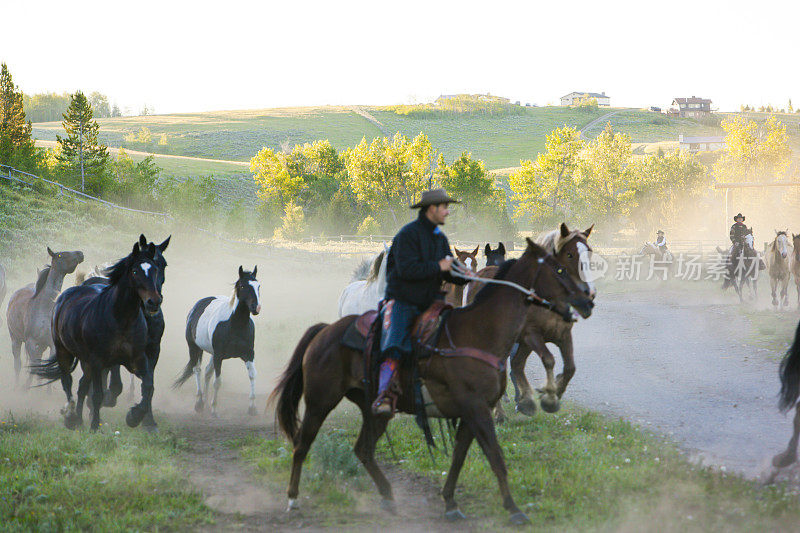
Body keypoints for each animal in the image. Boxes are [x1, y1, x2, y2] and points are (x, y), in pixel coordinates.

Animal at [7, 245, 83, 386]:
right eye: (60, 255)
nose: (80, 253)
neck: (44, 308)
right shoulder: (31, 343)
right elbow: (34, 366)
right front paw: (26, 387)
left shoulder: (51, 345)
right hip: (15, 339)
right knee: (18, 364)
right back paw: (17, 386)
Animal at [32, 236, 166, 428]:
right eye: (134, 271)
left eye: (159, 266)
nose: (153, 302)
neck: (122, 318)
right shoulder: (101, 359)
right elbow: (101, 392)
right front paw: (96, 422)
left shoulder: (142, 356)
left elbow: (148, 385)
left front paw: (136, 417)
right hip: (65, 351)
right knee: (68, 381)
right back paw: (72, 415)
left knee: (82, 385)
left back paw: (79, 418)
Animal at [175, 266, 262, 416]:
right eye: (243, 285)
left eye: (258, 286)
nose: (256, 308)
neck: (235, 325)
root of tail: (197, 306)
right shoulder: (219, 356)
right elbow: (218, 382)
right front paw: (214, 409)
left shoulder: (249, 354)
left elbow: (252, 375)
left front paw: (252, 408)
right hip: (194, 348)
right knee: (197, 370)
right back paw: (199, 403)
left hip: (212, 353)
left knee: (207, 372)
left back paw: (204, 400)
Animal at [466, 222, 592, 418]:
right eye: (569, 254)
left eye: (589, 251)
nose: (586, 294)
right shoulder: (531, 335)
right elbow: (548, 360)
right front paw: (547, 398)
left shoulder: (561, 335)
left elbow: (569, 368)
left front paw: (546, 395)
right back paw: (498, 412)